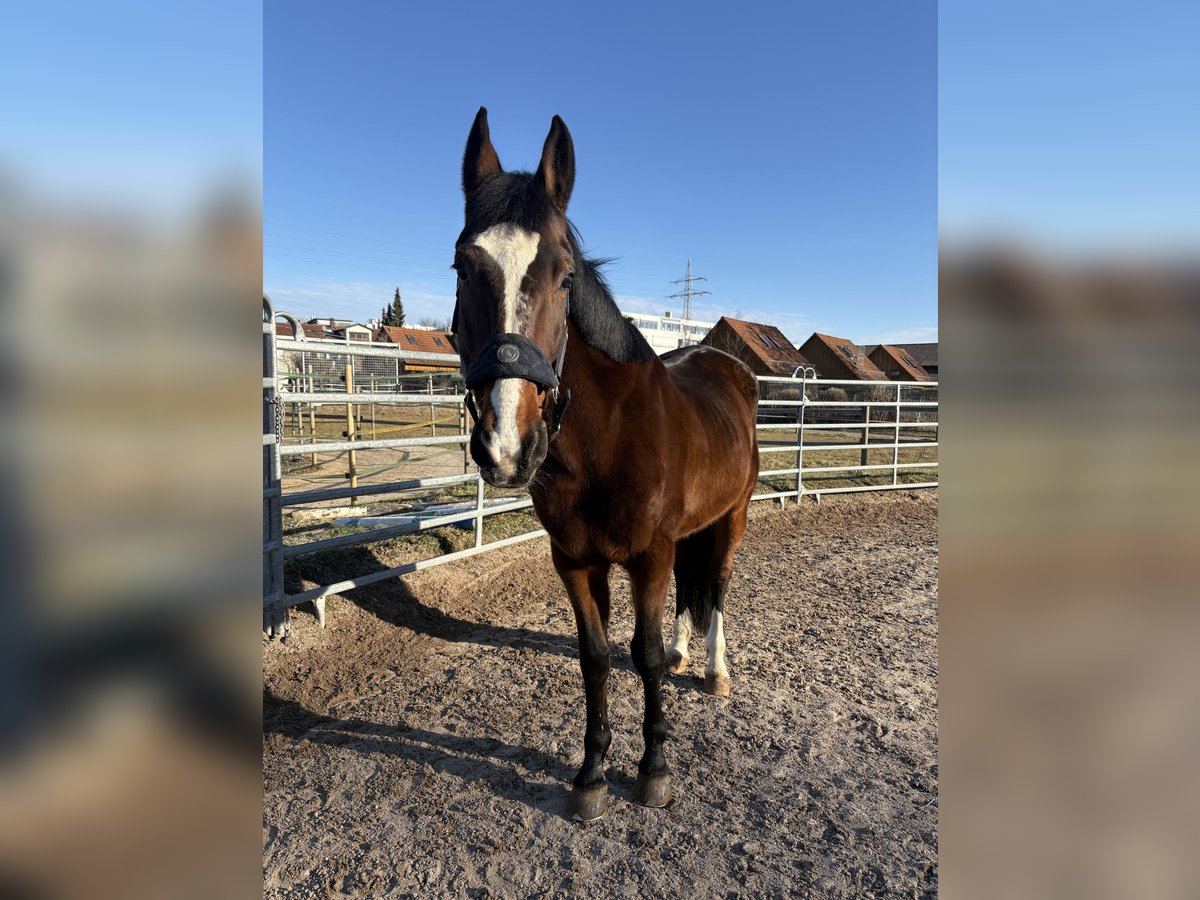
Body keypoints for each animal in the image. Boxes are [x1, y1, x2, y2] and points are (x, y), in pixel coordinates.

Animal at [451, 109, 758, 820]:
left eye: (565, 276)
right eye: (461, 267)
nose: (508, 446)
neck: (605, 443)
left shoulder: (649, 555)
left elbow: (640, 657)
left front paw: (653, 770)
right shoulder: (575, 560)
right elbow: (594, 658)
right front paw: (590, 773)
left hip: (731, 518)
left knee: (717, 587)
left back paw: (714, 668)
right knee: (689, 597)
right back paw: (684, 651)